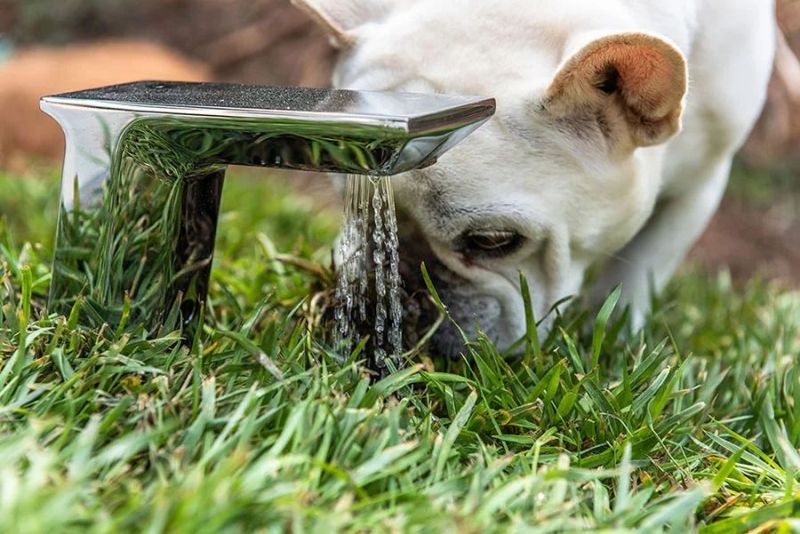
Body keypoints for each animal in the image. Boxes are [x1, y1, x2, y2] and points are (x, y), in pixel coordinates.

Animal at [294, 1, 776, 360]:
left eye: (492, 241)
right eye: (352, 210)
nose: (401, 285)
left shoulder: (705, 180)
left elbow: (643, 265)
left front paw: (617, 340)